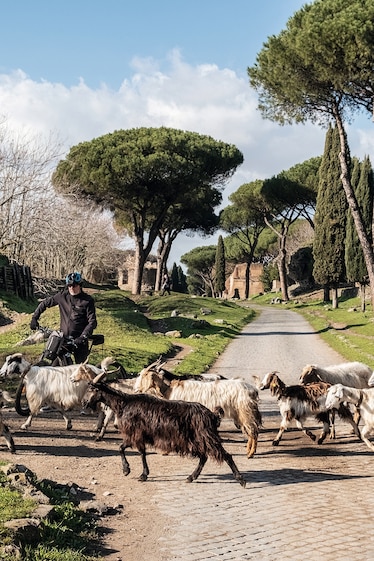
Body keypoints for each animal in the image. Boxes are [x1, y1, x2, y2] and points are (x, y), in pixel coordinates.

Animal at [133, 364, 262, 460]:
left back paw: (250, 453)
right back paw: (248, 450)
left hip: (245, 411)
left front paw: (166, 451)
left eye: (144, 375)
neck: (169, 389)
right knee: (250, 430)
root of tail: (252, 390)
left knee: (253, 430)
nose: (135, 389)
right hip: (240, 413)